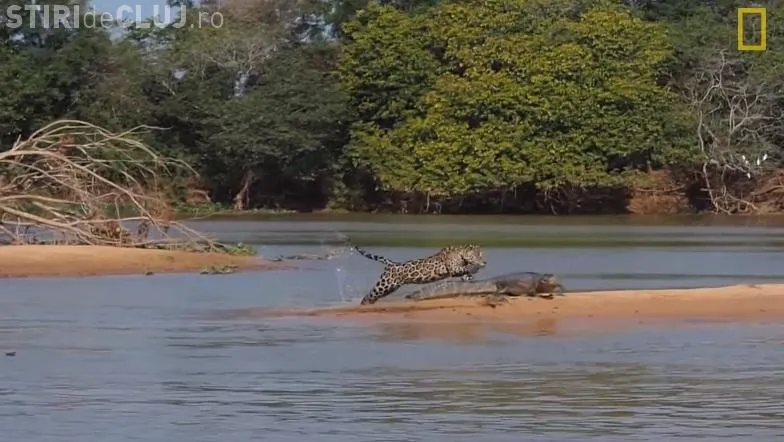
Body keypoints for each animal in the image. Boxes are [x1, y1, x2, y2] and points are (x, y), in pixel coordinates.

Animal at [351, 243, 487, 305]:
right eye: (476, 256)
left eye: (481, 255)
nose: (485, 262)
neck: (461, 254)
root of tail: (391, 264)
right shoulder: (453, 268)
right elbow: (465, 269)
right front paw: (473, 269)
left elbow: (465, 273)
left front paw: (469, 277)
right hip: (384, 285)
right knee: (369, 295)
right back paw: (363, 304)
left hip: (390, 288)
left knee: (373, 296)